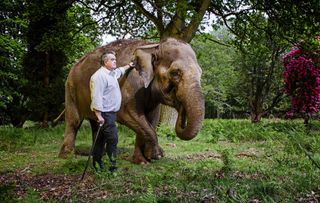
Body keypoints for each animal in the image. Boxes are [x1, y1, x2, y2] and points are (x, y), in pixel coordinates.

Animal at [58, 37, 205, 163]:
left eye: (200, 73)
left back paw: (100, 155)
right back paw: (66, 157)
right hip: (70, 90)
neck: (154, 46)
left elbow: (151, 119)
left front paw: (142, 161)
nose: (181, 106)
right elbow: (129, 114)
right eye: (175, 73)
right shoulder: (130, 85)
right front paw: (156, 155)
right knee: (73, 121)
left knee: (96, 124)